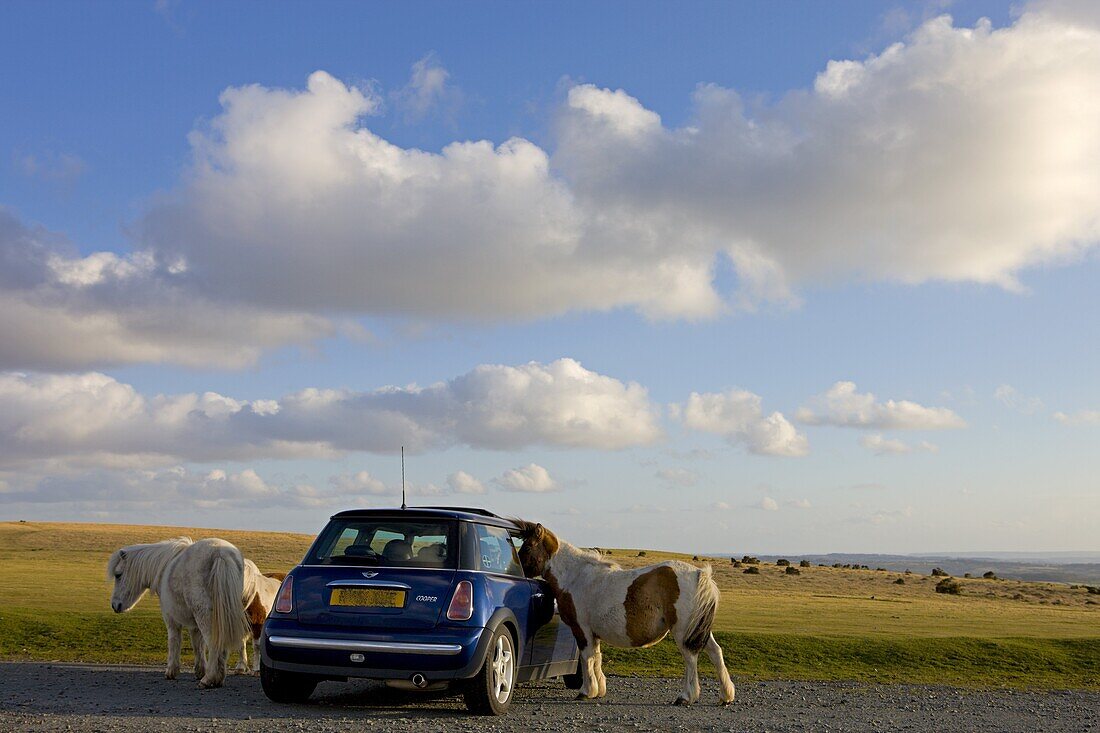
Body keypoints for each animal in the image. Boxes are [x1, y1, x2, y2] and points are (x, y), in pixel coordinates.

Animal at [107, 537, 251, 686]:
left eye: (118, 575)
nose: (115, 605)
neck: (164, 568)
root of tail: (221, 554)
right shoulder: (194, 626)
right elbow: (197, 645)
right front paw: (200, 671)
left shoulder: (171, 619)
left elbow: (174, 642)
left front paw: (171, 671)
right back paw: (217, 677)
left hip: (206, 617)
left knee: (215, 643)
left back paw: (209, 679)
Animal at [517, 517, 739, 704]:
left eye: (527, 547)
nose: (517, 570)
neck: (576, 577)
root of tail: (700, 574)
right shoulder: (594, 633)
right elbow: (597, 658)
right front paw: (599, 690)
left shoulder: (583, 631)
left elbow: (587, 658)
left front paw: (586, 691)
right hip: (698, 628)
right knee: (715, 652)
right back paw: (725, 695)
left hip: (683, 630)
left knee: (690, 658)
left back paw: (685, 696)